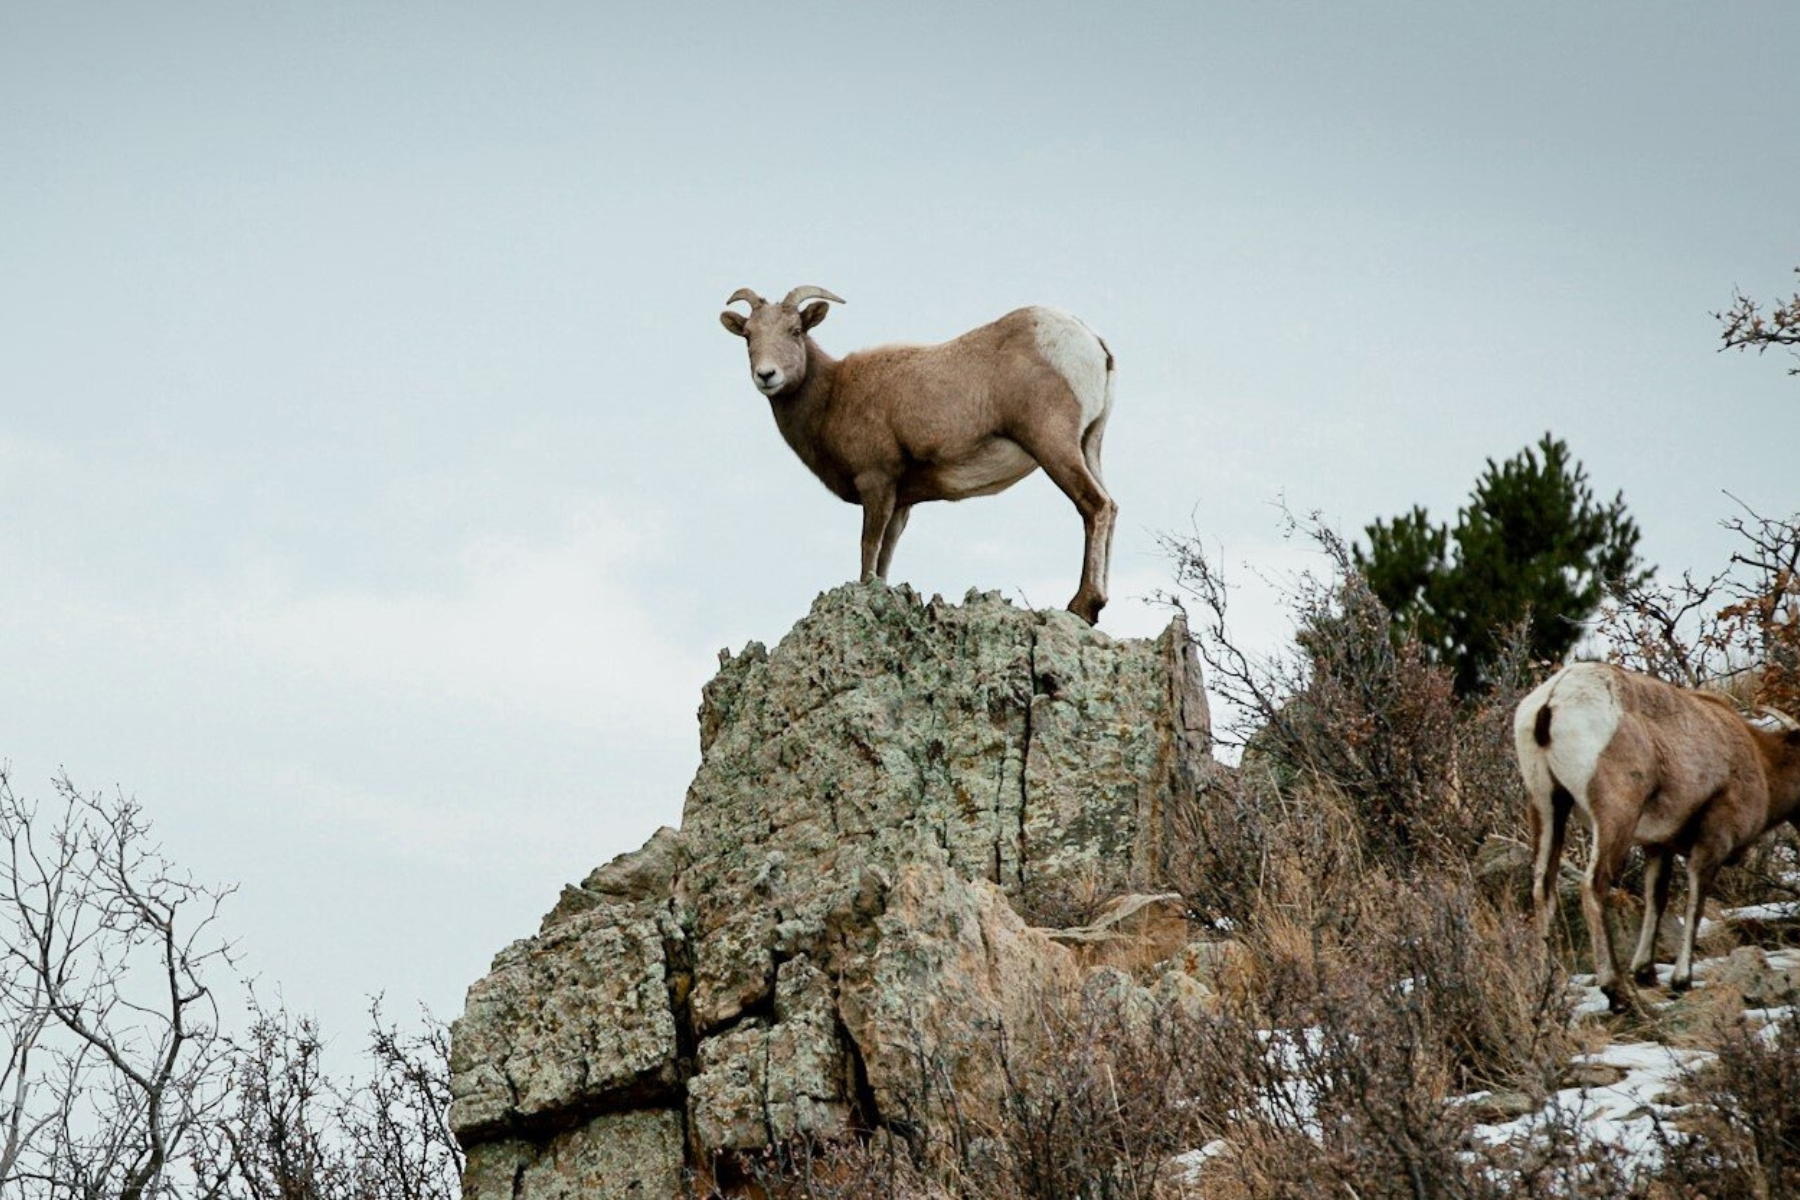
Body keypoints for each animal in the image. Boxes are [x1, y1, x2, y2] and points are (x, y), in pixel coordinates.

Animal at [712, 287, 1108, 626]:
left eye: (795, 330)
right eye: (748, 335)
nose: (767, 375)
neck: (832, 394)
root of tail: (1094, 344)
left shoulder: (876, 481)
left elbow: (868, 548)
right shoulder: (901, 502)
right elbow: (886, 556)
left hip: (1053, 445)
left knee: (1095, 505)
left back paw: (1083, 606)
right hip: (1090, 445)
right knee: (1111, 507)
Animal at [1512, 665, 1800, 1014]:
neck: (1760, 763)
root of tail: (1552, 702)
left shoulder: (1657, 846)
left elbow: (1656, 898)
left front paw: (1645, 972)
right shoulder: (1712, 842)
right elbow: (1695, 903)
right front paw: (1681, 980)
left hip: (1546, 804)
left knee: (1543, 887)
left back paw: (1546, 989)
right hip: (1615, 815)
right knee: (1594, 886)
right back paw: (1616, 993)